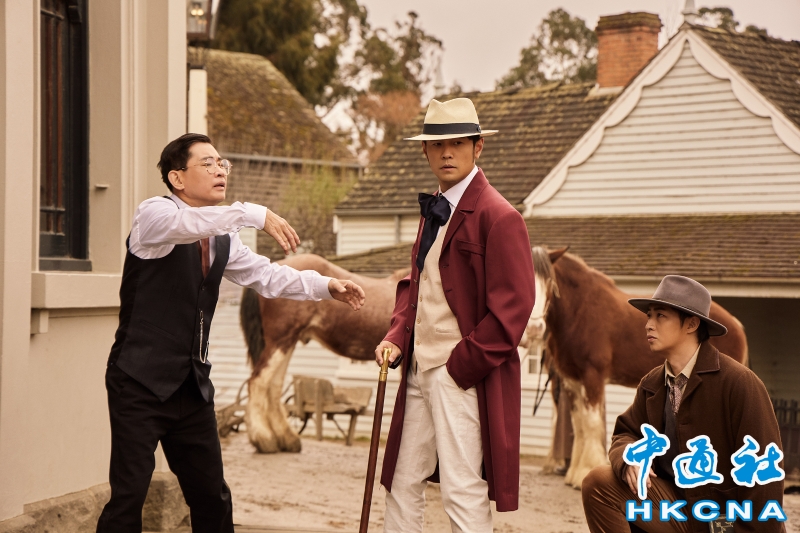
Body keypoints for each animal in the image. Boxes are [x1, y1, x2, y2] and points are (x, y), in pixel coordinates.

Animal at [239, 254, 410, 453]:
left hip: (287, 342)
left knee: (274, 385)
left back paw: (287, 439)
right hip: (280, 341)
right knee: (258, 382)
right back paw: (263, 438)